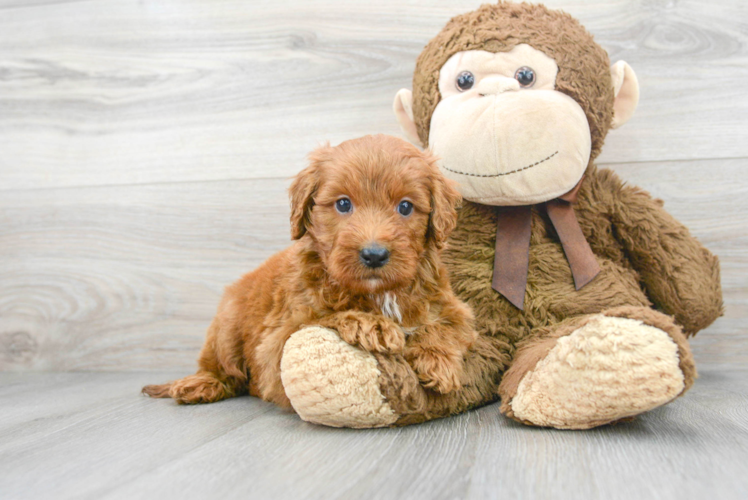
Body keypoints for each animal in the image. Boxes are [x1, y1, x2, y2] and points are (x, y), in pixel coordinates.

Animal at [143, 134, 476, 410]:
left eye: (405, 207)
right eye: (343, 204)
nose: (374, 254)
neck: (379, 294)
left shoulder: (452, 307)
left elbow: (445, 326)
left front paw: (438, 361)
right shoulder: (278, 340)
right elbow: (321, 318)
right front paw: (370, 325)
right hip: (226, 327)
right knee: (224, 369)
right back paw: (201, 384)